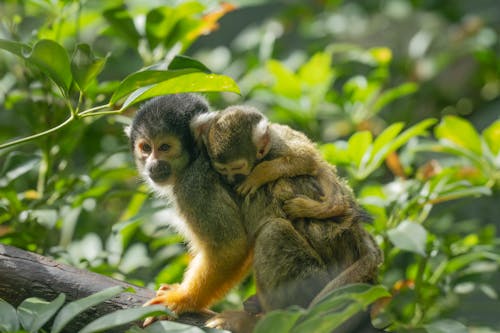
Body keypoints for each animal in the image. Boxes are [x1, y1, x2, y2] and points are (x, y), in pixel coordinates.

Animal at [191, 105, 352, 219]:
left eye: (237, 168)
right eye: (222, 170)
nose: (230, 180)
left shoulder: (277, 146)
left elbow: (308, 158)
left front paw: (258, 175)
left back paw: (331, 207)